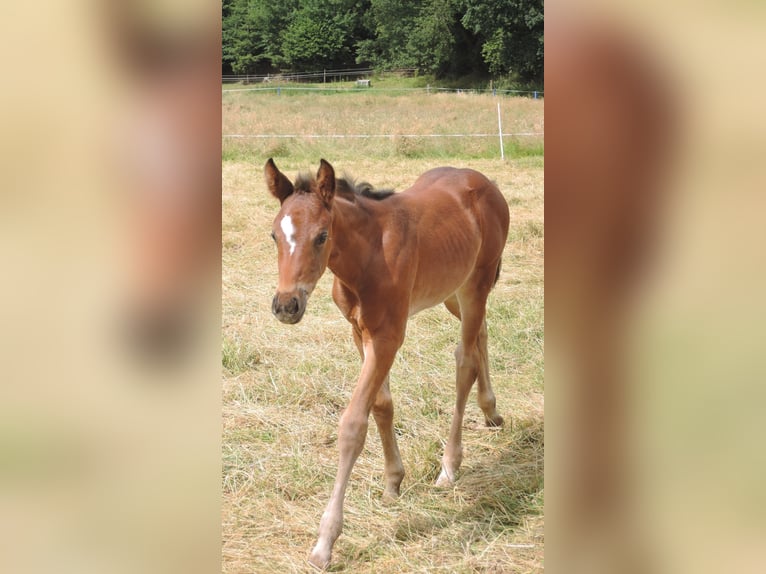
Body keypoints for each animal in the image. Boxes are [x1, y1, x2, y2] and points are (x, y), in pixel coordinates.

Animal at [264, 159, 510, 572]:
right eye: (273, 236)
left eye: (322, 235)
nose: (286, 306)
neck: (368, 255)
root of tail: (484, 181)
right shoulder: (358, 332)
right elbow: (381, 405)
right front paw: (393, 481)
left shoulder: (388, 336)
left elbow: (353, 424)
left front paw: (325, 541)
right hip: (453, 289)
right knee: (481, 336)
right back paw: (490, 411)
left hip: (476, 284)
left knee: (464, 362)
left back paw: (450, 465)